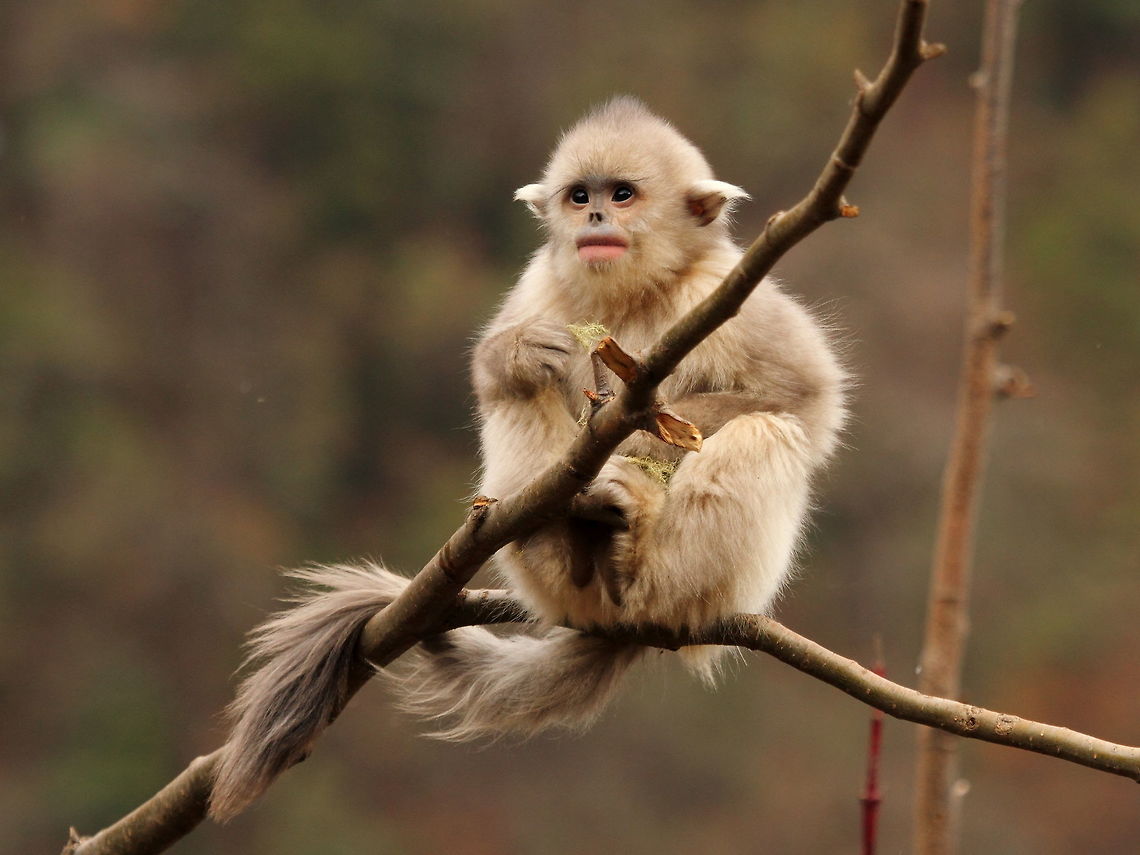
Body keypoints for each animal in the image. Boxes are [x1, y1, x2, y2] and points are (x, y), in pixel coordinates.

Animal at [208, 96, 845, 821]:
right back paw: (559, 532)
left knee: (769, 432)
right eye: (580, 196)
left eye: (623, 195)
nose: (594, 219)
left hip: (719, 593)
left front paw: (635, 439)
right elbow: (503, 366)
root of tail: (624, 626)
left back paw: (638, 553)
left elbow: (805, 399)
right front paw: (518, 357)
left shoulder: (727, 289)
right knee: (522, 397)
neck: (631, 296)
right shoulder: (541, 285)